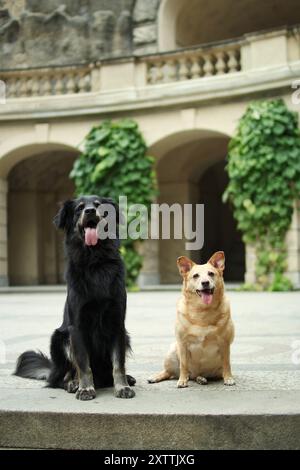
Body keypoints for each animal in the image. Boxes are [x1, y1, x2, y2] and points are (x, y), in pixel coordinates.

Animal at [14, 195, 135, 400]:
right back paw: (72, 383)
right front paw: (85, 388)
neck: (95, 262)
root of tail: (52, 370)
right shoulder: (77, 327)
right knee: (62, 377)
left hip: (125, 338)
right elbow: (83, 364)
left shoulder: (117, 323)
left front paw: (122, 387)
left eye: (98, 206)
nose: (90, 211)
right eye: (79, 208)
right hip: (60, 338)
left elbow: (118, 363)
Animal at [149, 252, 236, 388]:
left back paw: (201, 379)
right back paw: (157, 377)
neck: (202, 311)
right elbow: (183, 365)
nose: (205, 283)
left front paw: (228, 378)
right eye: (195, 276)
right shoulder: (183, 344)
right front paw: (182, 380)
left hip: (213, 371)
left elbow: (227, 363)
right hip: (172, 352)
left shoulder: (225, 343)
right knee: (169, 372)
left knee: (198, 376)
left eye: (211, 273)